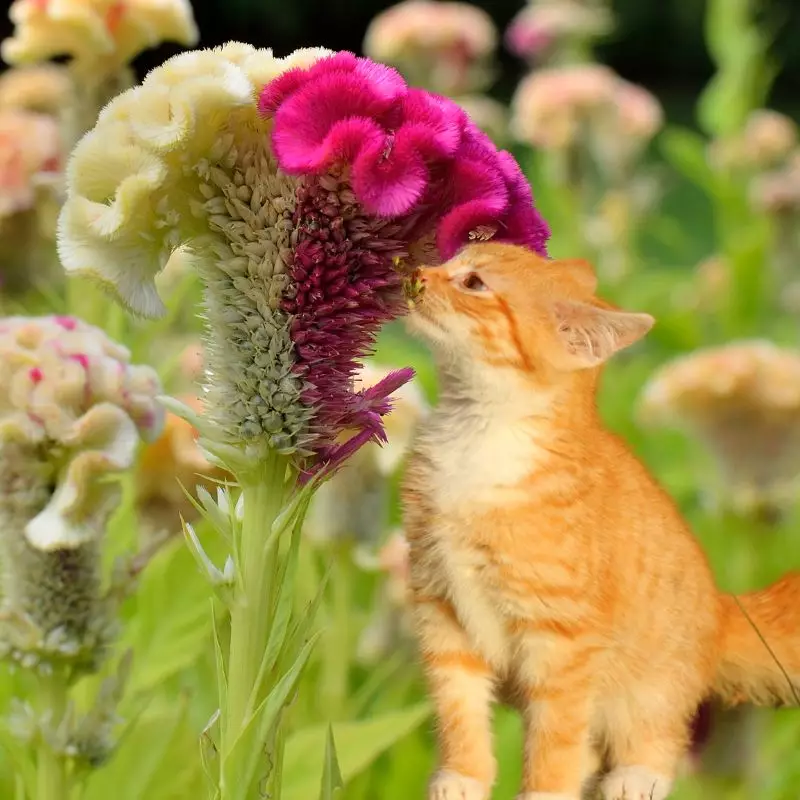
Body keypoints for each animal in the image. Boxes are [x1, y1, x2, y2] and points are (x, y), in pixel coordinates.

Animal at [404, 244, 800, 800]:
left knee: (656, 732)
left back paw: (638, 775)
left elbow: (555, 738)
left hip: (650, 685)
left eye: (475, 283)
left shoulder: (562, 639)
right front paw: (463, 776)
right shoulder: (441, 610)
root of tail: (722, 607)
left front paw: (543, 794)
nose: (417, 272)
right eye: (451, 258)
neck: (477, 438)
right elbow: (458, 708)